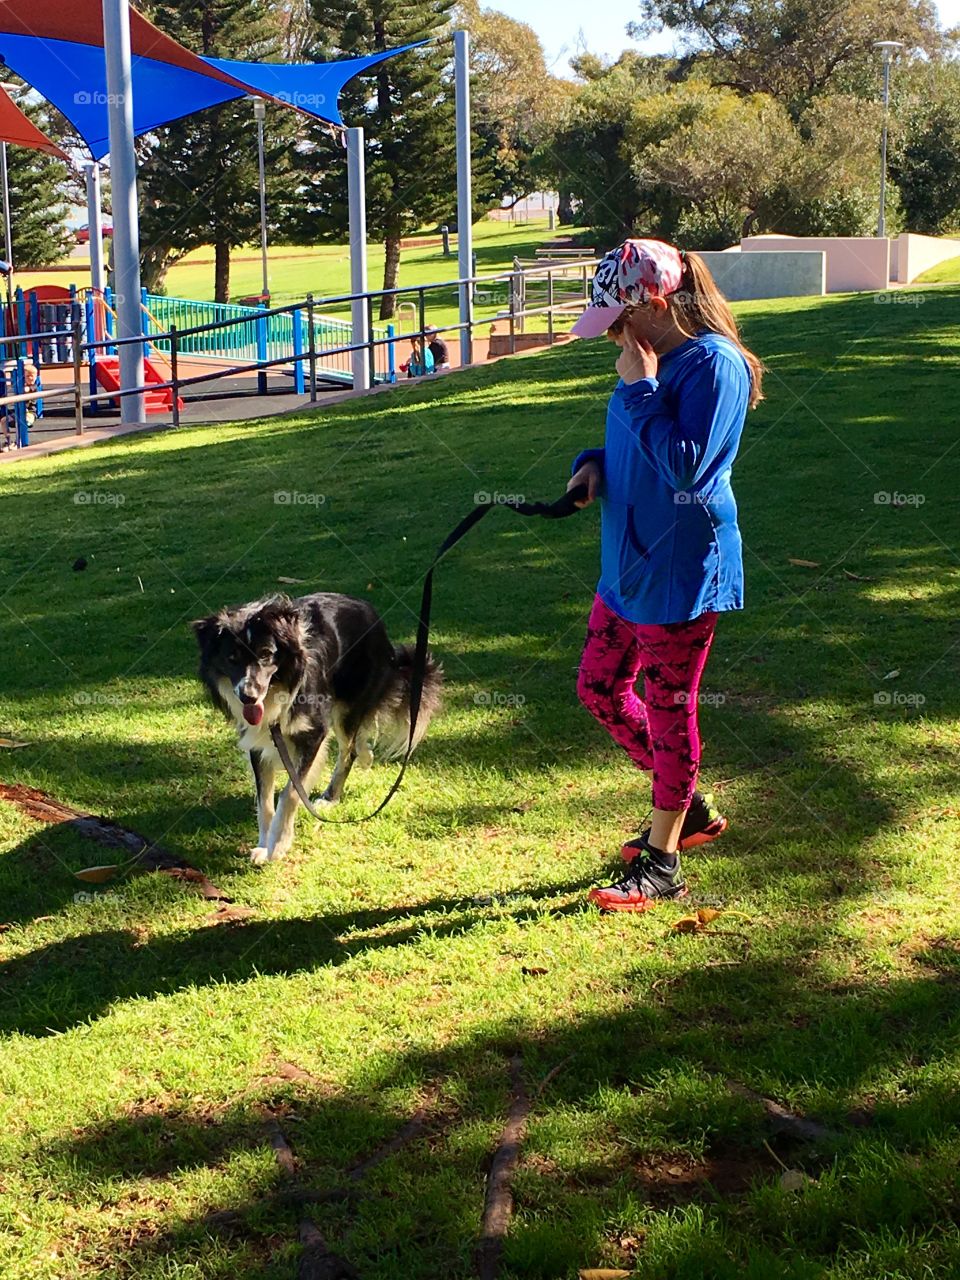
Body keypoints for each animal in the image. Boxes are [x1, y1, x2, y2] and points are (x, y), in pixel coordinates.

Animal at [193, 593, 442, 865]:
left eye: (266, 653)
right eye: (231, 658)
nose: (248, 696)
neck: (279, 687)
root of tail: (366, 608)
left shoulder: (313, 733)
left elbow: (290, 793)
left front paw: (278, 845)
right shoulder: (256, 741)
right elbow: (264, 799)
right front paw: (263, 845)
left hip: (346, 706)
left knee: (348, 750)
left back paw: (331, 796)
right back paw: (366, 755)